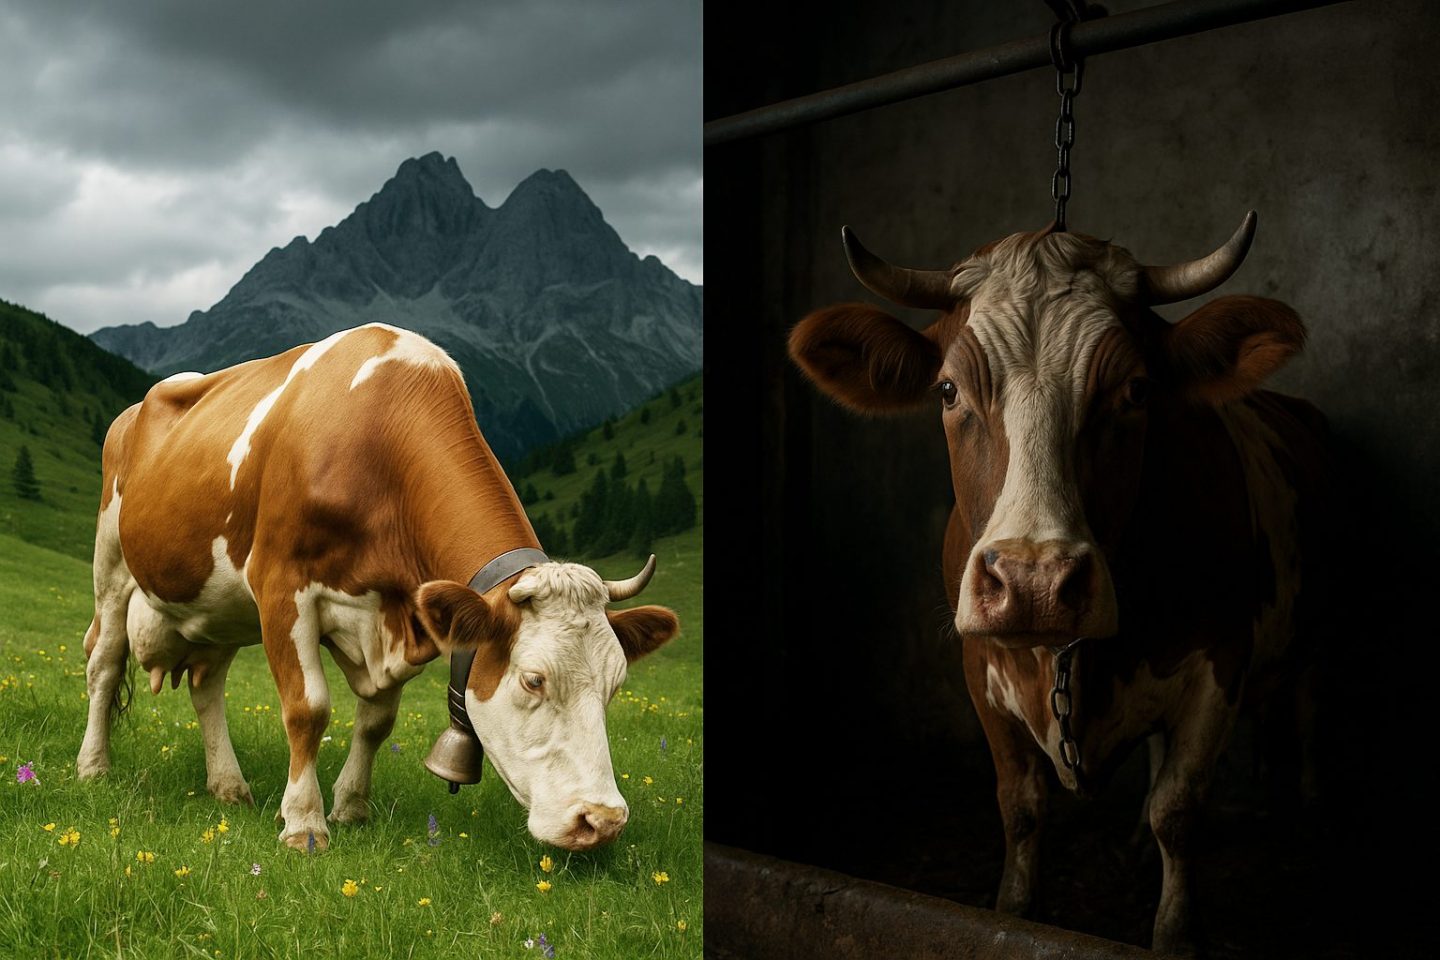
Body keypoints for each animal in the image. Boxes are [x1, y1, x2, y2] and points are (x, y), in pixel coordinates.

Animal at [76, 322, 679, 853]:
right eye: (533, 680)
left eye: (616, 684)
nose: (602, 820)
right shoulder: (282, 590)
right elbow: (308, 709)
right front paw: (304, 824)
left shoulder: (402, 613)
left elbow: (377, 721)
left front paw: (351, 808)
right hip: (111, 565)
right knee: (104, 663)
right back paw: (93, 766)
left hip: (219, 608)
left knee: (207, 686)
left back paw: (229, 786)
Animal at [788, 214, 1331, 954]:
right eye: (948, 391)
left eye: (1137, 390)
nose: (1034, 581)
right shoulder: (979, 665)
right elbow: (1021, 807)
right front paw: (1013, 911)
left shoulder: (1221, 662)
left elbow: (1179, 809)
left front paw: (1175, 934)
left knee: (1302, 711)